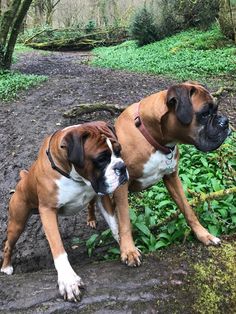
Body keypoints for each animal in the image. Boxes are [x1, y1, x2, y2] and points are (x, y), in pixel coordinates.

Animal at [0, 121, 131, 302]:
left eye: (119, 151)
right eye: (101, 159)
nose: (122, 166)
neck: (75, 177)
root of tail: (22, 181)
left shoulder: (102, 197)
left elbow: (115, 226)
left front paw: (126, 248)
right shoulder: (48, 211)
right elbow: (58, 249)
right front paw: (68, 281)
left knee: (90, 206)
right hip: (17, 223)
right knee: (8, 245)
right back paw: (6, 267)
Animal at [87, 81, 230, 268]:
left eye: (216, 109)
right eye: (205, 114)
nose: (225, 121)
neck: (153, 137)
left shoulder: (172, 178)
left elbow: (188, 210)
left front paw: (204, 235)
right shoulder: (121, 186)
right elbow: (124, 220)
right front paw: (129, 251)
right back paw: (91, 218)